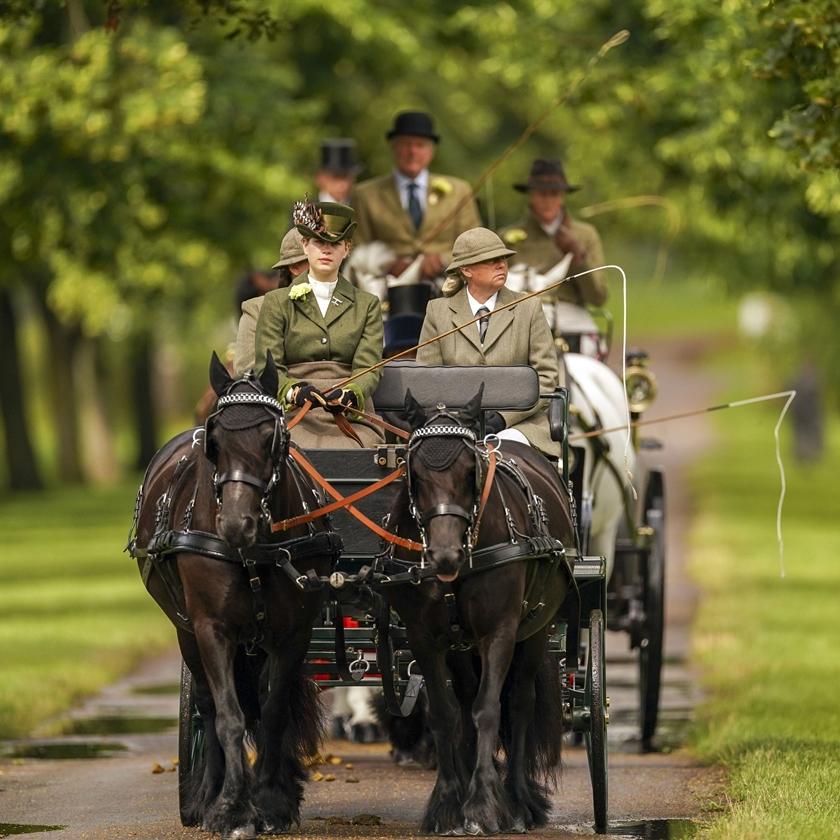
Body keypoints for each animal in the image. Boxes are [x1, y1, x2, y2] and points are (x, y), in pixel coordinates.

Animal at [130, 354, 334, 840]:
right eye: (216, 440)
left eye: (272, 437)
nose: (236, 524)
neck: (253, 553)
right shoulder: (212, 628)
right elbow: (229, 714)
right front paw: (231, 809)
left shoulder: (293, 632)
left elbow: (273, 710)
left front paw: (271, 800)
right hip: (185, 628)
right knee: (207, 704)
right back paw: (206, 794)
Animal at [382, 388, 576, 832]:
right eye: (413, 472)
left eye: (470, 470)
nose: (445, 556)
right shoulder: (424, 636)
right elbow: (444, 713)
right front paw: (448, 802)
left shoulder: (499, 631)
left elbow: (489, 709)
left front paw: (486, 803)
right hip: (460, 646)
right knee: (466, 697)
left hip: (536, 629)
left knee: (519, 702)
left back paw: (519, 800)